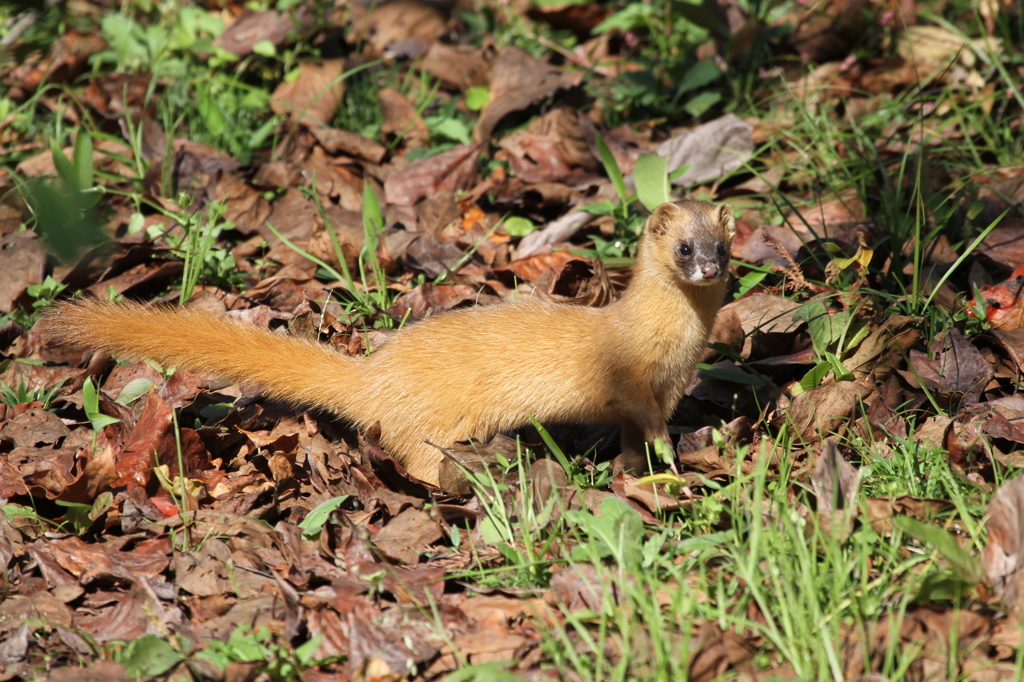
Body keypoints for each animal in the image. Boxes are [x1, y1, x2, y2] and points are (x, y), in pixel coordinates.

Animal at [36, 199, 733, 485]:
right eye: (684, 247)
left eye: (723, 245)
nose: (708, 267)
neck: (676, 347)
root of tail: (374, 374)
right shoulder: (633, 378)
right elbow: (647, 421)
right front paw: (671, 456)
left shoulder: (658, 391)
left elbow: (634, 438)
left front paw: (639, 468)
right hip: (433, 426)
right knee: (416, 455)